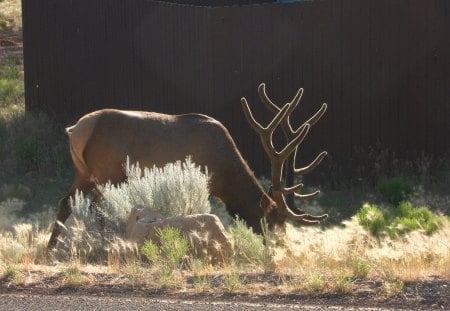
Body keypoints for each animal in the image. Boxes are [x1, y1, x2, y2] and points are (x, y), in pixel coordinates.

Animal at [47, 83, 328, 251]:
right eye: (271, 221)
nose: (279, 247)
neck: (225, 174)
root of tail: (76, 130)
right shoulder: (203, 181)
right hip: (107, 172)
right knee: (97, 208)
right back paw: (103, 246)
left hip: (84, 172)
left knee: (66, 202)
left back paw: (50, 249)